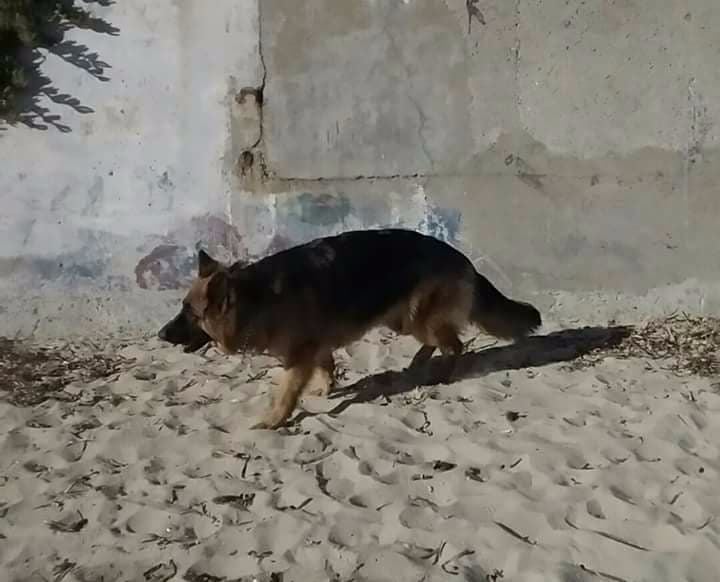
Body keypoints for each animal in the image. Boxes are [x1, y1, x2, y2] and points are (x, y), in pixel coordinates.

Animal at [158, 230, 540, 432]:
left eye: (189, 313)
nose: (160, 335)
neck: (258, 297)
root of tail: (461, 257)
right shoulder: (315, 345)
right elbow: (327, 365)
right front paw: (326, 388)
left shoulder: (299, 356)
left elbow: (286, 391)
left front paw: (274, 419)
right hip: (403, 321)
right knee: (438, 342)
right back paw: (418, 362)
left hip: (419, 319)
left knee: (454, 344)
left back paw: (442, 373)